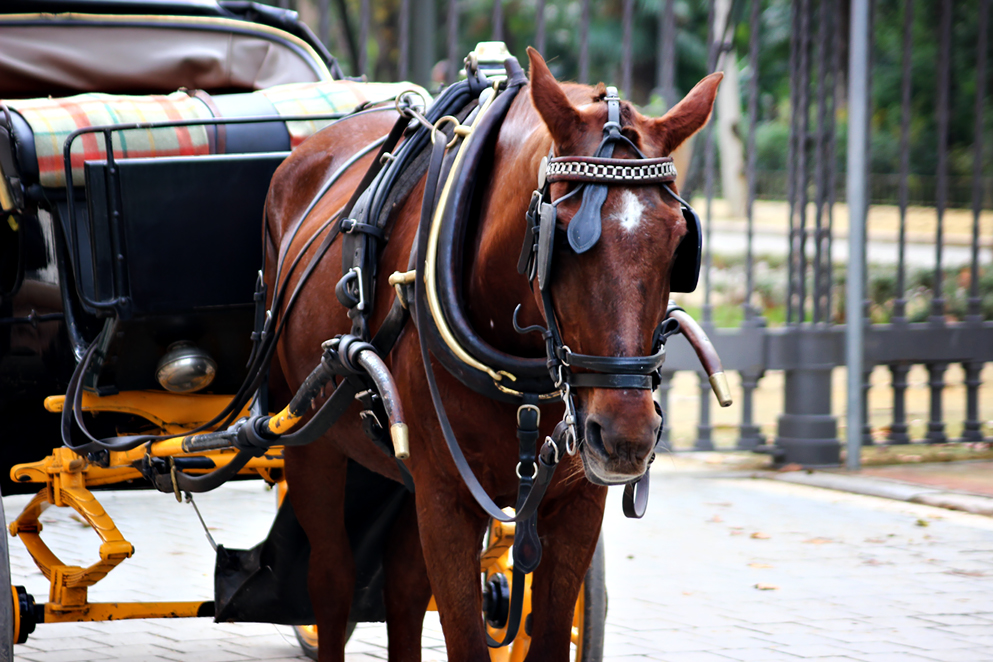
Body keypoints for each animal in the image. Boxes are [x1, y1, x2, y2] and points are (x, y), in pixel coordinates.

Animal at [264, 48, 720, 662]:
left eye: (678, 245)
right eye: (562, 238)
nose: (627, 437)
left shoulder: (576, 503)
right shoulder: (445, 496)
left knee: (403, 589)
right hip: (311, 441)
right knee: (332, 584)